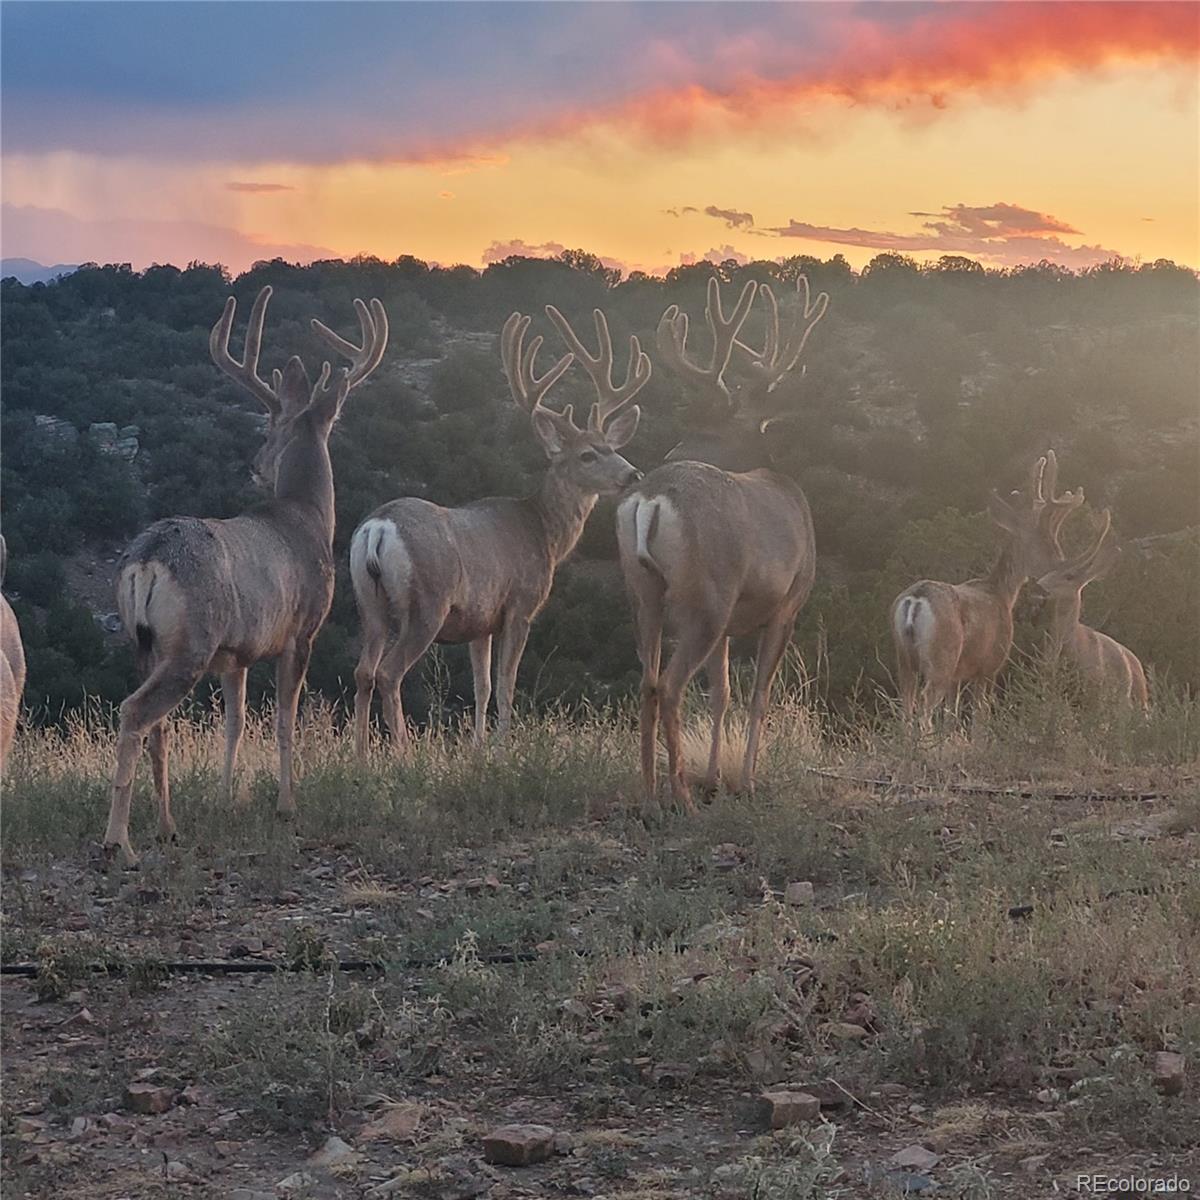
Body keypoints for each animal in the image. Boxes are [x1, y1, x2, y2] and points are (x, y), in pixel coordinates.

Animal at [103, 283, 386, 864]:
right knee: (135, 713)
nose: (256, 463)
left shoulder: (236, 654)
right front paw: (286, 804)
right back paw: (118, 840)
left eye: (272, 428)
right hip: (191, 642)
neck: (307, 517)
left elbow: (233, 723)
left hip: (146, 644)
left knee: (158, 728)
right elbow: (283, 719)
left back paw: (166, 826)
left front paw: (226, 799)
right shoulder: (302, 630)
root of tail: (146, 559)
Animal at [348, 300, 648, 753]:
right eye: (587, 455)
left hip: (369, 603)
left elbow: (482, 685)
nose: (633, 474)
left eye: (612, 447)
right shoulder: (520, 606)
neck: (543, 530)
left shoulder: (480, 621)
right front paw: (505, 745)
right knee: (389, 672)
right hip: (427, 604)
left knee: (364, 672)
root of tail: (378, 529)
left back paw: (364, 754)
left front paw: (478, 746)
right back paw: (401, 751)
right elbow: (507, 682)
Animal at [614, 274, 830, 816]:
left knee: (646, 681)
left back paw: (650, 793)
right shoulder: (788, 603)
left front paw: (715, 778)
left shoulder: (732, 623)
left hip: (643, 591)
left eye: (707, 423)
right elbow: (757, 696)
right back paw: (681, 796)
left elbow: (721, 693)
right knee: (670, 685)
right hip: (705, 595)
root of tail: (650, 499)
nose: (674, 447)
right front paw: (745, 781)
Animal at [892, 448, 1089, 720]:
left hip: (904, 659)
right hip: (942, 658)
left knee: (906, 706)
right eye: (1047, 543)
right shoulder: (990, 665)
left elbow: (951, 716)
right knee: (924, 706)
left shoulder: (958, 676)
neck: (1002, 593)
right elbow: (980, 715)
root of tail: (915, 601)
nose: (1064, 568)